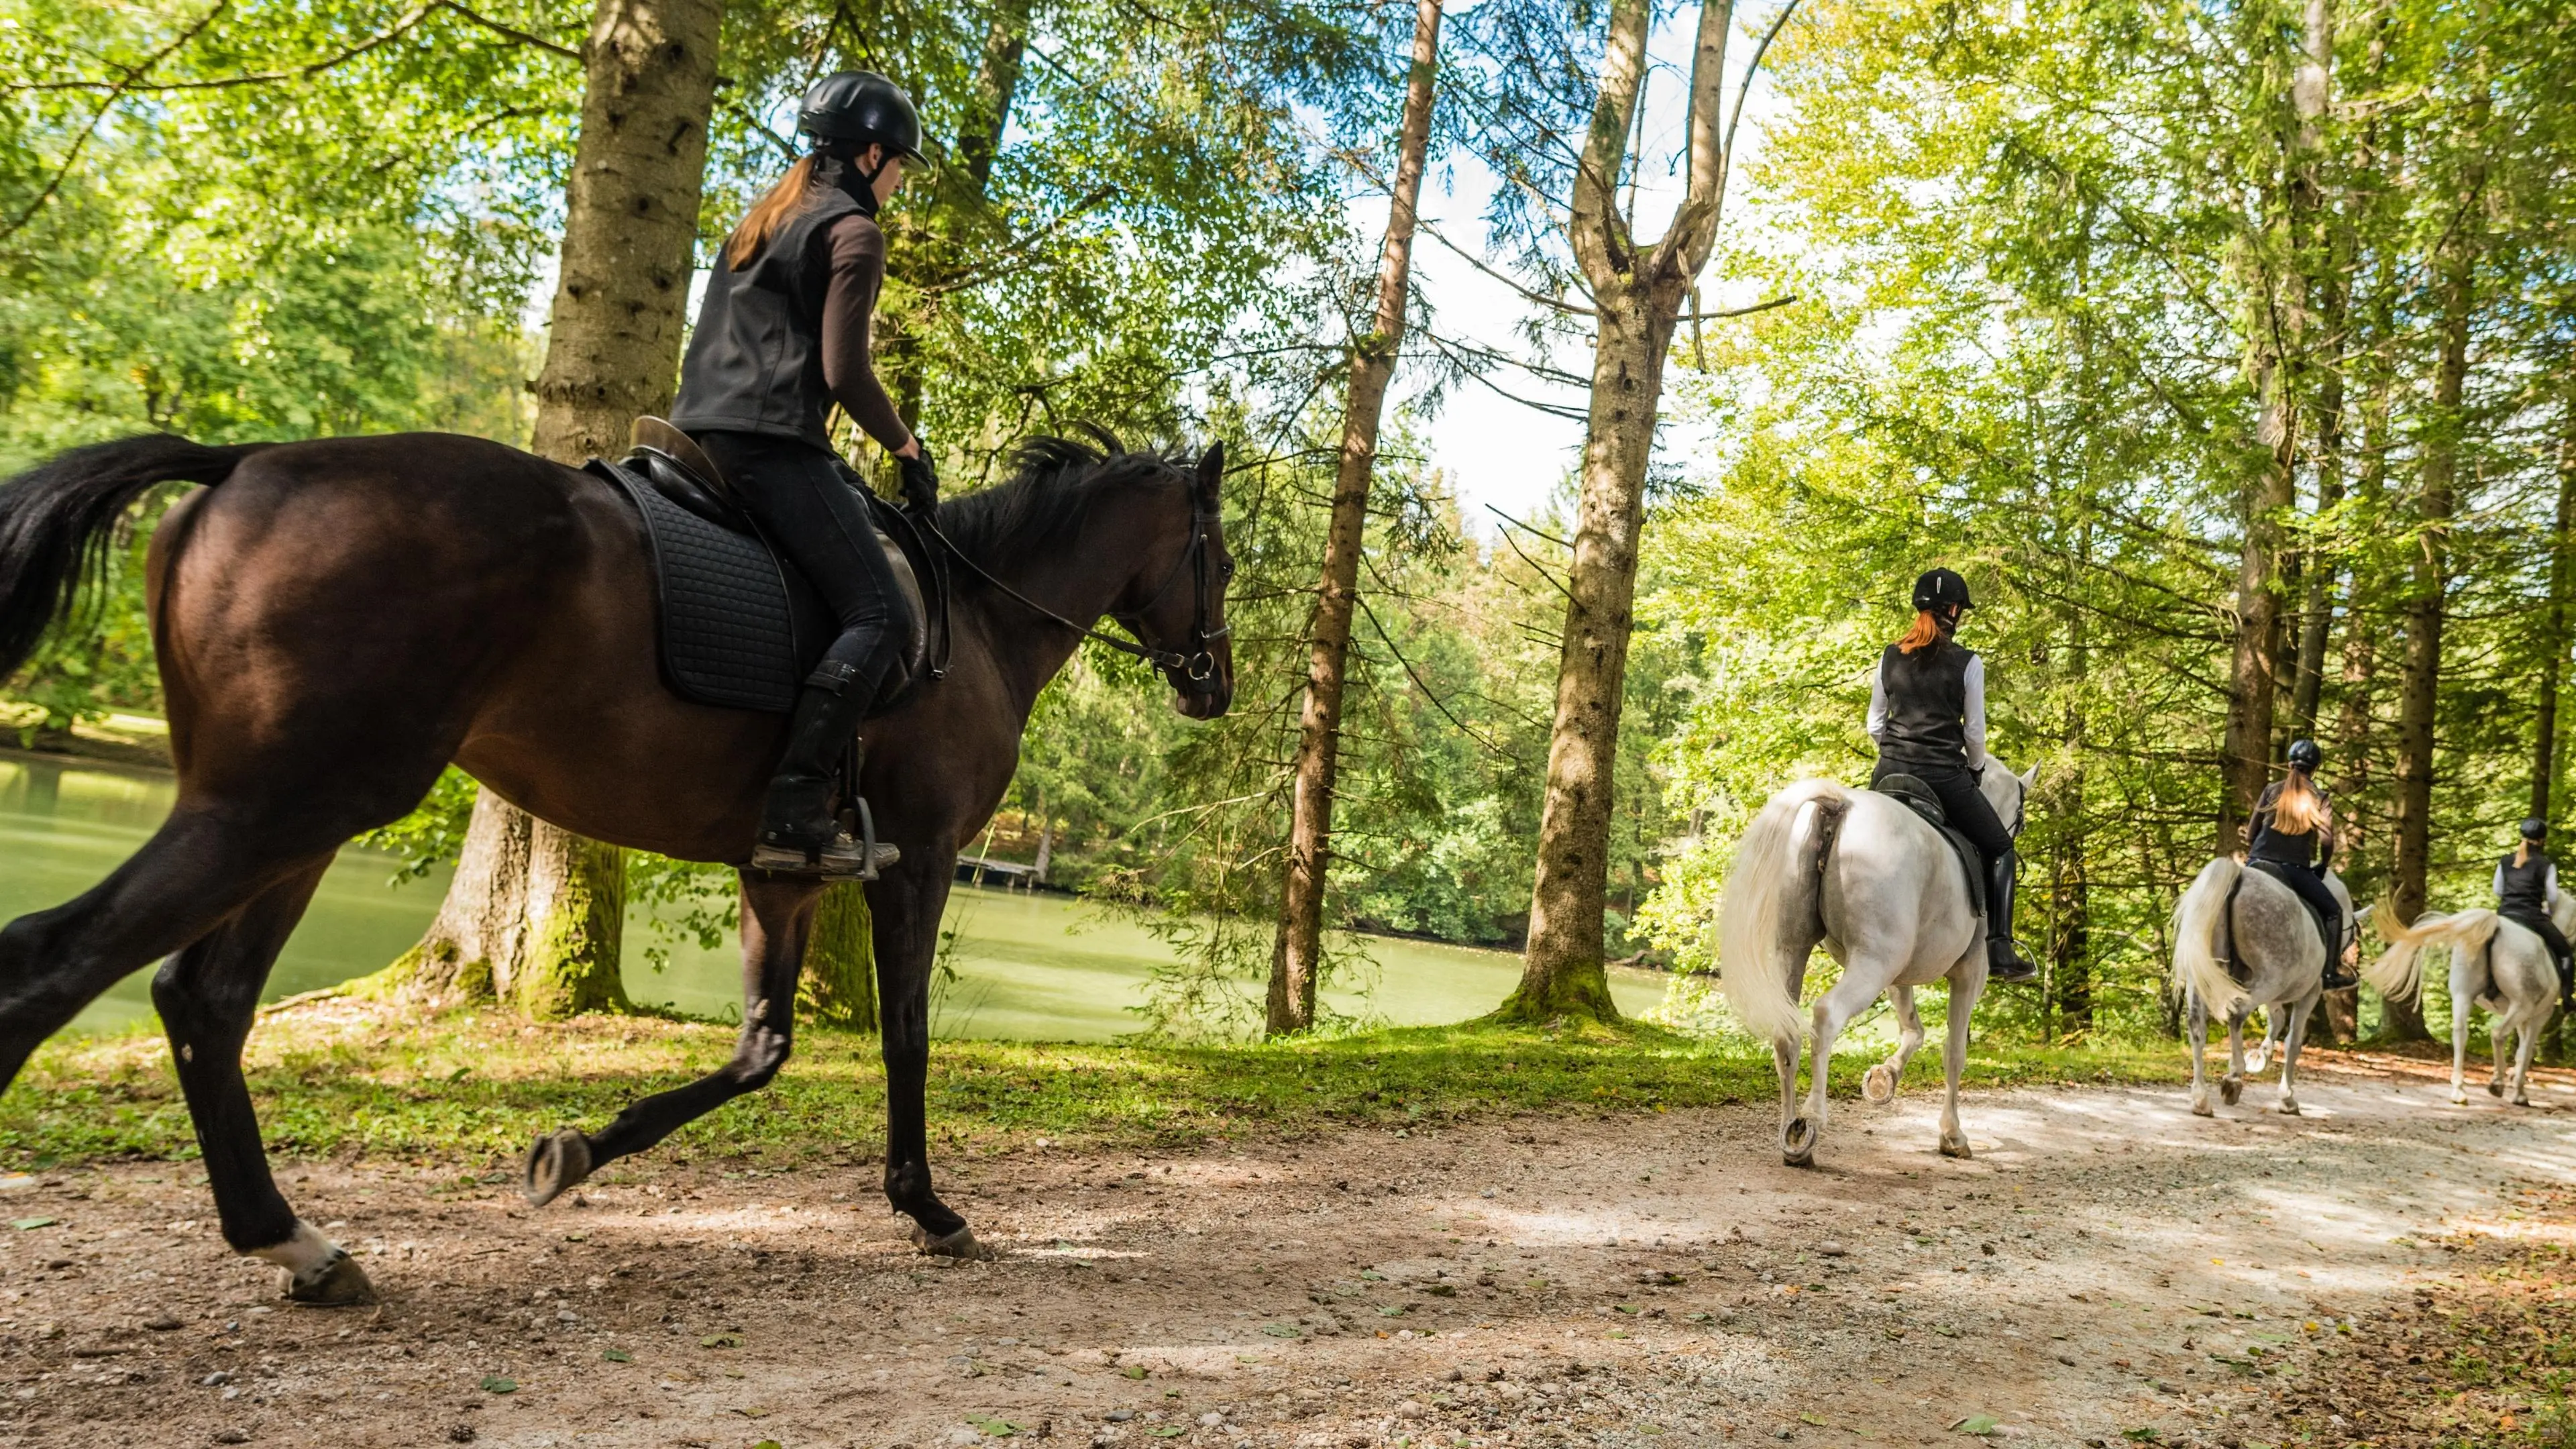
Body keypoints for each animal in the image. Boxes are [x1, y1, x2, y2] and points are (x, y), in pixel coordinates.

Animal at [0, 428, 1236, 1299]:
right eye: (1218, 557)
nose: (1216, 684)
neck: (975, 617)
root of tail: (246, 462)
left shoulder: (784, 871)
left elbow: (759, 1052)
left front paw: (577, 1151)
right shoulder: (917, 860)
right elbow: (905, 1037)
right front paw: (929, 1209)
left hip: (301, 816)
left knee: (203, 1000)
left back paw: (298, 1247)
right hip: (280, 806)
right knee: (51, 962)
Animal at [1710, 757, 2029, 1160]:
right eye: (2021, 814)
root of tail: (1839, 805)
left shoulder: (1899, 975)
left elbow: (1914, 1030)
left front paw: (1884, 1078)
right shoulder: (1970, 973)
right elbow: (1953, 1052)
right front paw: (1953, 1135)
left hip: (1797, 951)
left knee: (1787, 1033)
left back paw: (1790, 1133)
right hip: (1873, 962)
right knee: (1827, 1015)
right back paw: (1810, 1120)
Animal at [2174, 856, 2359, 1119]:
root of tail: (2239, 875)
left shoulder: (2275, 996)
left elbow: (2277, 1020)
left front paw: (2261, 1056)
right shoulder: (2309, 994)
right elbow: (2293, 1043)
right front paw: (2287, 1099)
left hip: (2205, 978)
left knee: (2197, 1026)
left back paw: (2201, 1100)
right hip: (2270, 977)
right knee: (2237, 1014)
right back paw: (2233, 1078)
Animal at [2359, 892, 2565, 1103]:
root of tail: (2495, 925)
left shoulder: (2525, 1019)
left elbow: (2522, 1051)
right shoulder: (2539, 1016)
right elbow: (2525, 1052)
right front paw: (2519, 1094)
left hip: (2464, 995)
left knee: (2460, 1034)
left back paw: (2459, 1090)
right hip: (2521, 1004)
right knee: (2498, 1034)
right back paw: (2496, 1083)